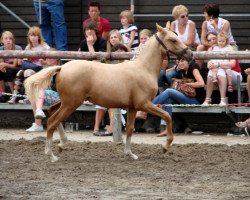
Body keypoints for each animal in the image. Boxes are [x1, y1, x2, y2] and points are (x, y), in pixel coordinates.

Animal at [24, 22, 192, 162]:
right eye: (173, 40)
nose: (190, 55)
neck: (143, 69)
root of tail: (62, 68)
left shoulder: (132, 107)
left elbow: (130, 129)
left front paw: (130, 154)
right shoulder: (144, 104)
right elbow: (167, 116)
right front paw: (165, 146)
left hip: (67, 102)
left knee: (52, 111)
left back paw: (62, 144)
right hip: (71, 103)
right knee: (52, 121)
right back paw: (51, 155)